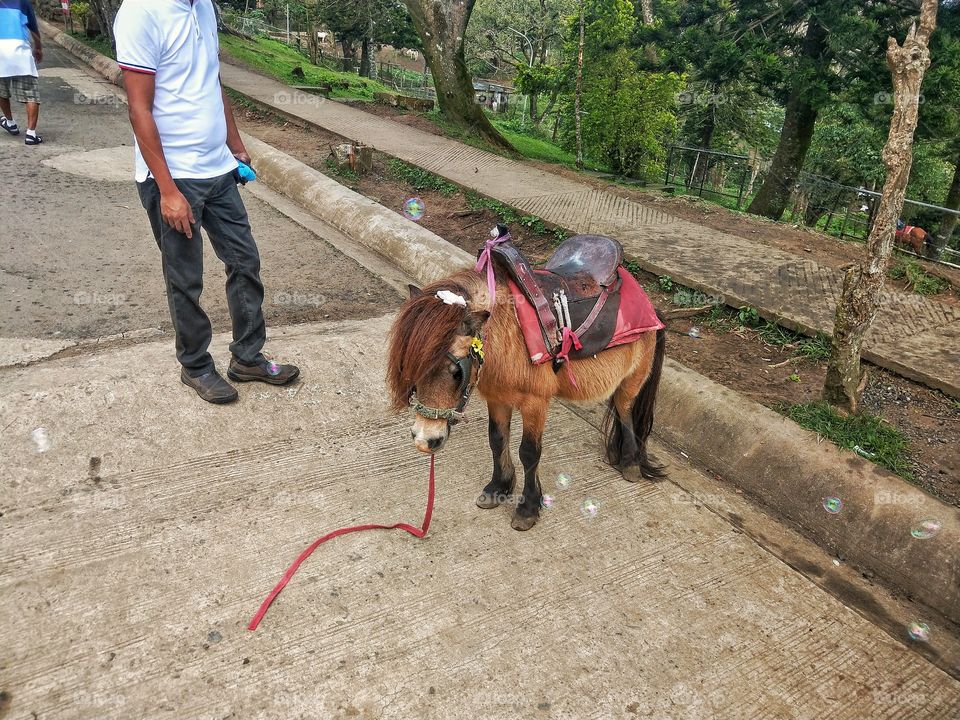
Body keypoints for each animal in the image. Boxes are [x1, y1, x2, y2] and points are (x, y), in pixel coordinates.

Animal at [386, 246, 666, 531]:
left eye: (456, 372)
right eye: (410, 367)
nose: (424, 440)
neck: (510, 331)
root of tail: (651, 307)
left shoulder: (535, 403)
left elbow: (529, 453)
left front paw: (528, 507)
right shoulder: (497, 398)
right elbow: (497, 440)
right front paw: (499, 487)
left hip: (632, 379)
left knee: (625, 410)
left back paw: (630, 462)